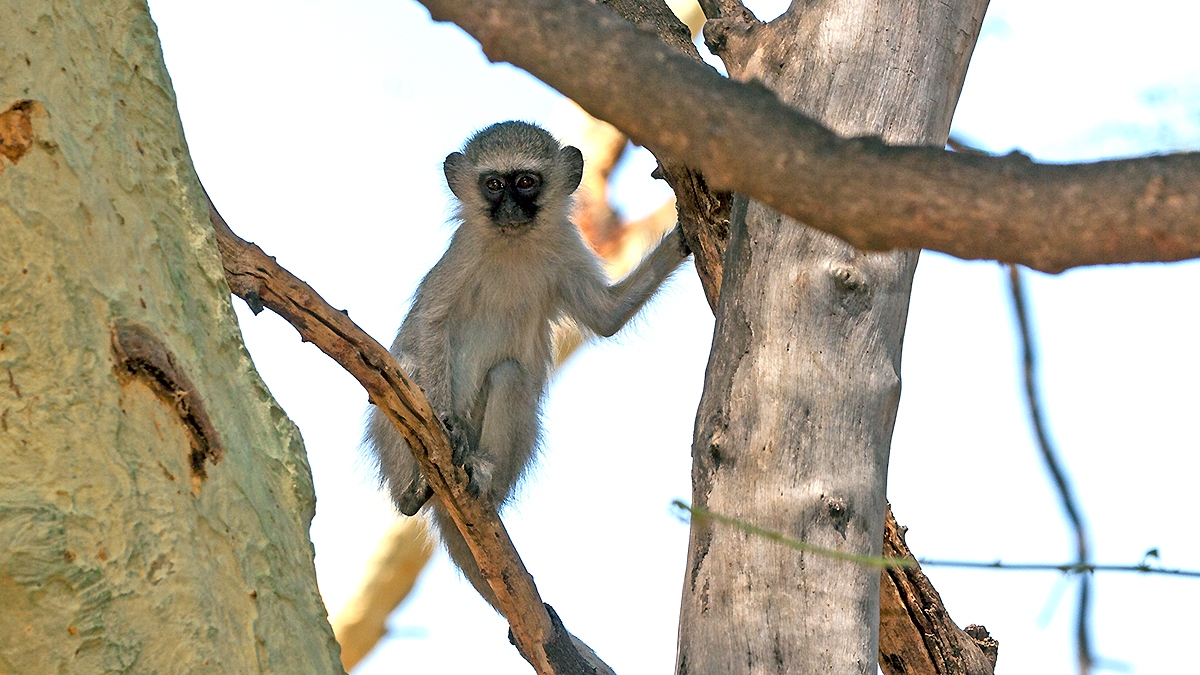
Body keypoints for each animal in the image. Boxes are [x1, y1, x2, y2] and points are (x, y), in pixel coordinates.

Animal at [365, 121, 689, 616]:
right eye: (494, 185)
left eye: (526, 181)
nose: (511, 209)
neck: (513, 243)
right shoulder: (462, 252)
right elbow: (429, 325)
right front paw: (447, 424)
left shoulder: (565, 246)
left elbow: (607, 318)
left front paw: (683, 237)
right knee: (406, 364)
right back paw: (416, 490)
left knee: (511, 375)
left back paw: (481, 475)